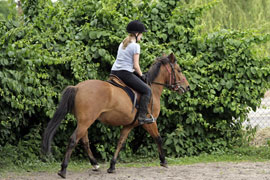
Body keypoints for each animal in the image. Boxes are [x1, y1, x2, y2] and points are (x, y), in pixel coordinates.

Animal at [42, 52, 190, 178]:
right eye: (179, 70)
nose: (187, 87)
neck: (152, 89)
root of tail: (77, 87)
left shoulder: (129, 125)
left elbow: (120, 142)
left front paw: (112, 166)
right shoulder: (149, 122)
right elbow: (158, 138)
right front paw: (163, 161)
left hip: (84, 122)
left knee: (84, 141)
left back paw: (95, 164)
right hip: (85, 121)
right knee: (73, 140)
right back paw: (63, 170)